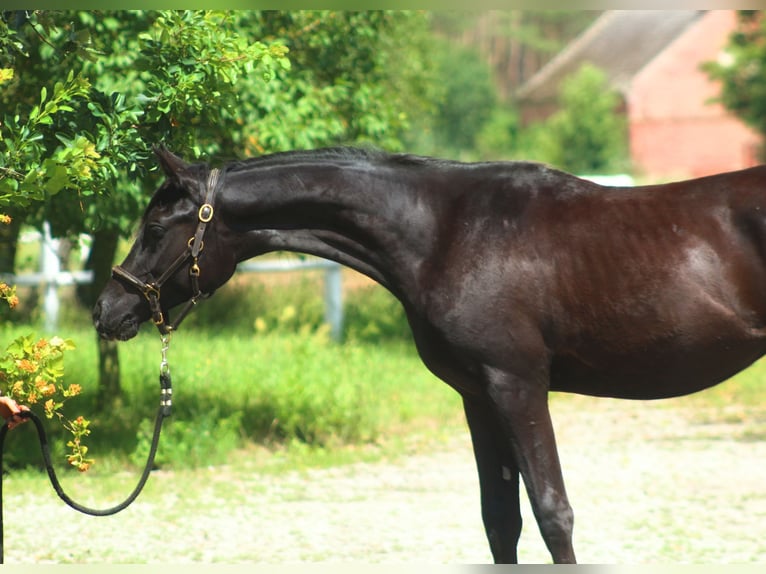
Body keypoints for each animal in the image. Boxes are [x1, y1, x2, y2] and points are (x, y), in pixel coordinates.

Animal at [93, 145, 766, 563]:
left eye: (155, 230)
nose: (106, 310)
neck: (445, 231)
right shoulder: (478, 396)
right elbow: (501, 520)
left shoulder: (517, 385)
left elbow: (553, 513)